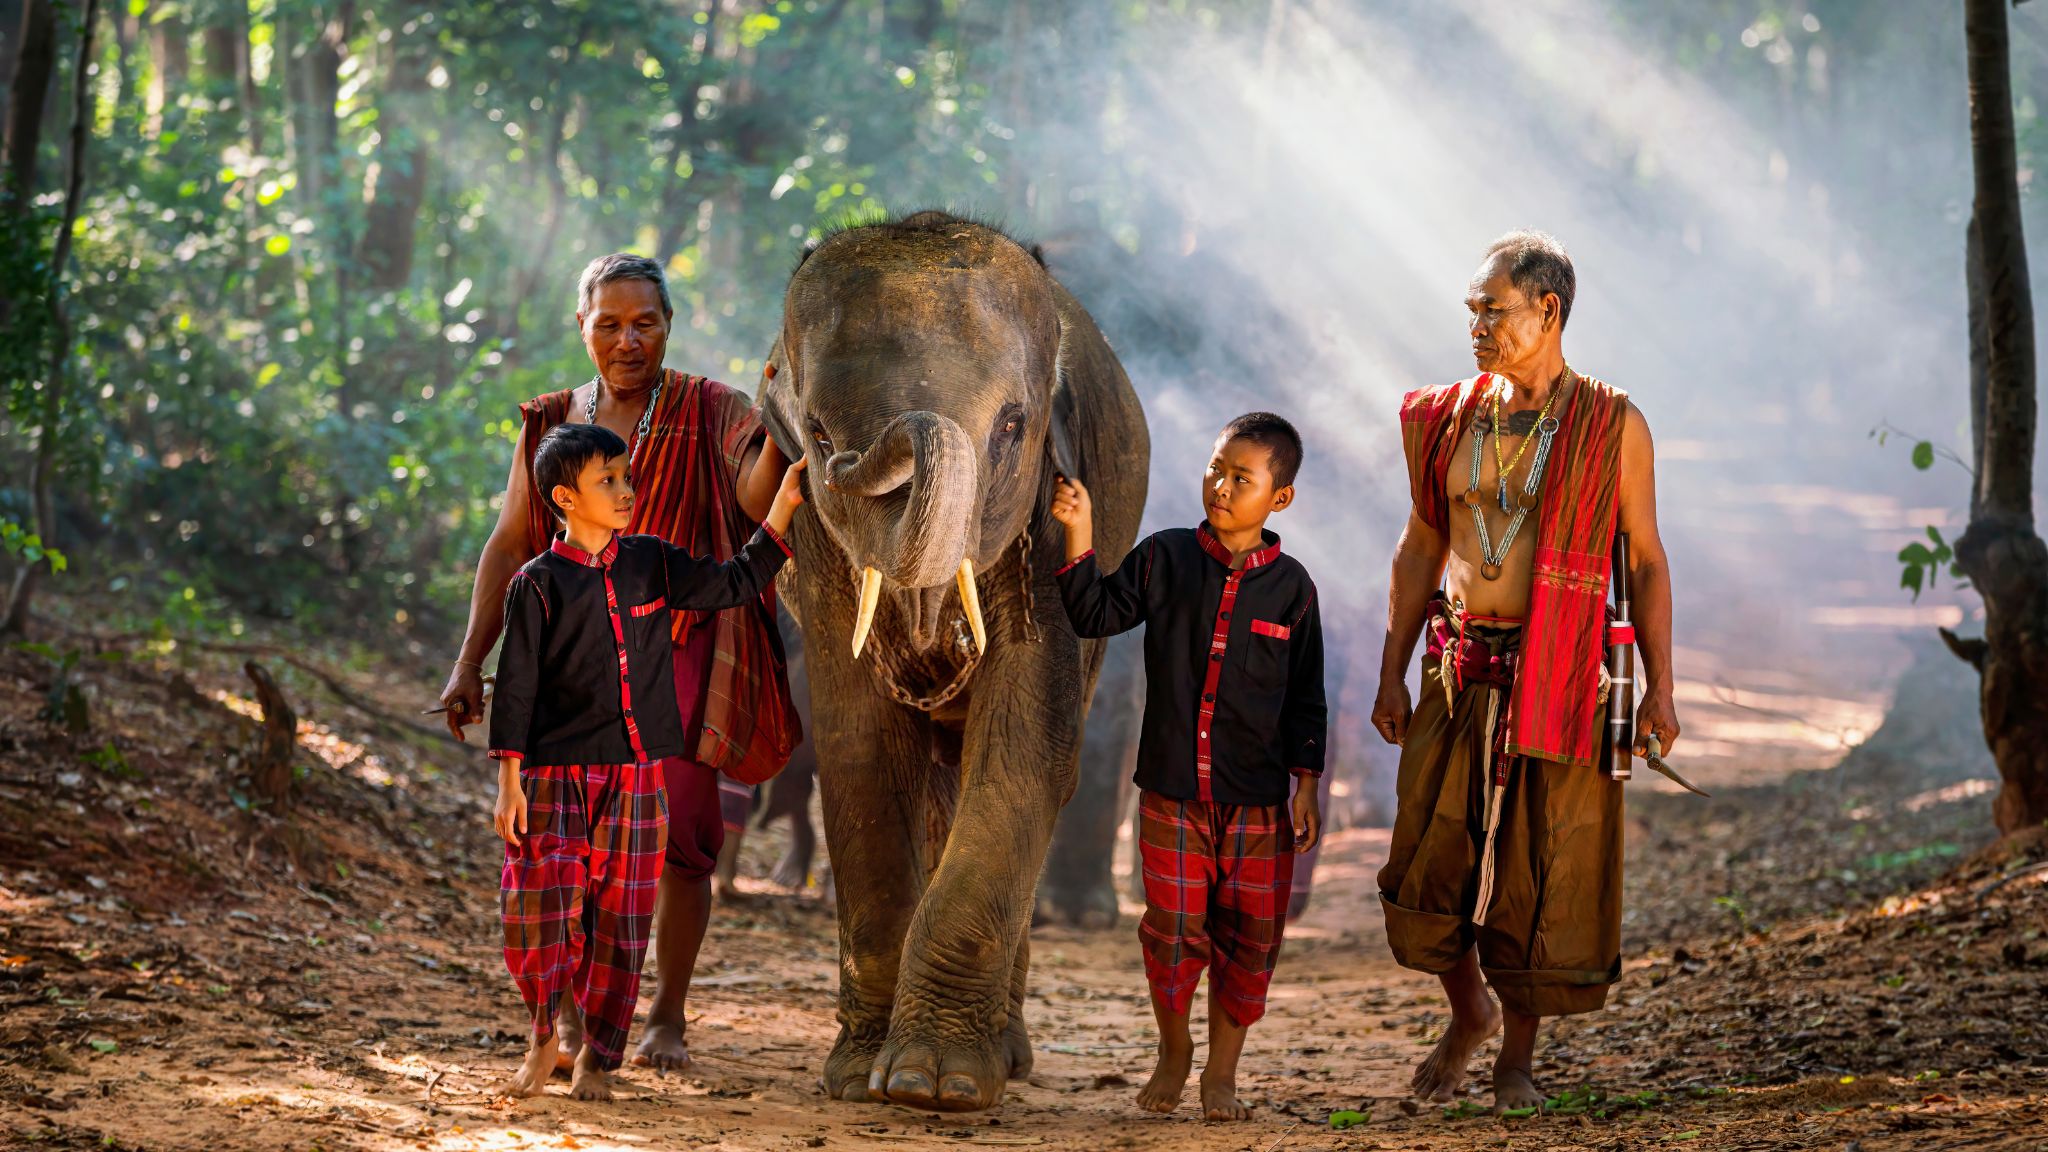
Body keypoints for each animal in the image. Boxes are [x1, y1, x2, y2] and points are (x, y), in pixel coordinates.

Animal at [755, 211, 1149, 1111]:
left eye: (1011, 426)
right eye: (816, 434)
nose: (841, 464)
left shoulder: (1055, 508)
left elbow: (1025, 744)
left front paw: (938, 1085)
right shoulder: (816, 546)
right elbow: (857, 744)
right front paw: (862, 1076)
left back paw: (1010, 1056)